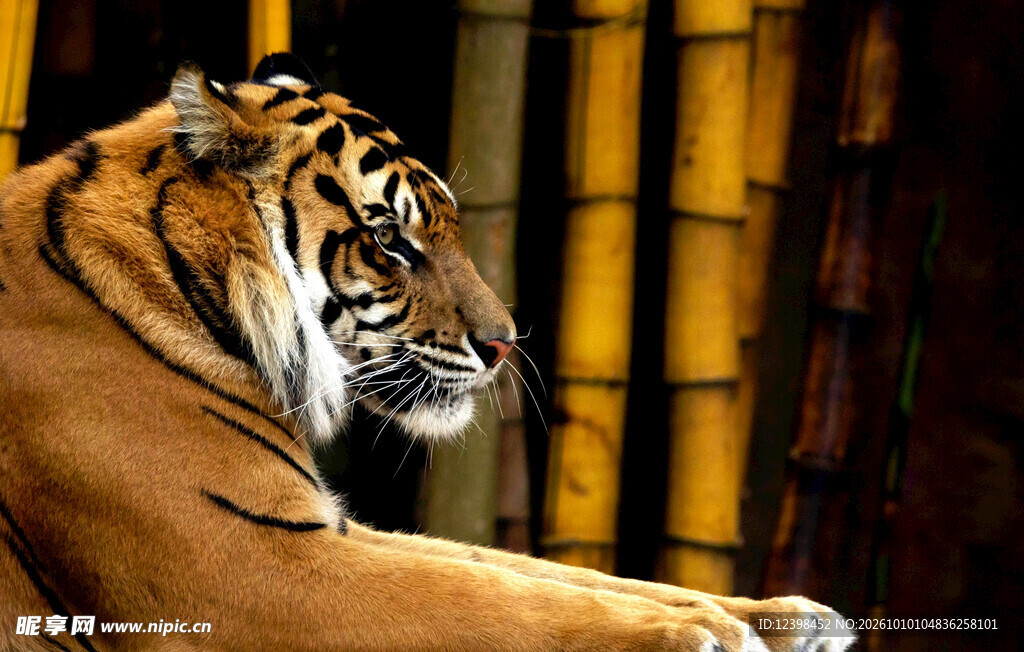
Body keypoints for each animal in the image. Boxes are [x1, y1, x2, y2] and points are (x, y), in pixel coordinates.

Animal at [0, 53, 851, 651]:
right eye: (388, 239)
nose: (506, 343)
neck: (179, 283)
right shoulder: (251, 566)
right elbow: (497, 600)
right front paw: (698, 633)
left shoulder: (322, 529)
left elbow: (537, 570)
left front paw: (784, 616)